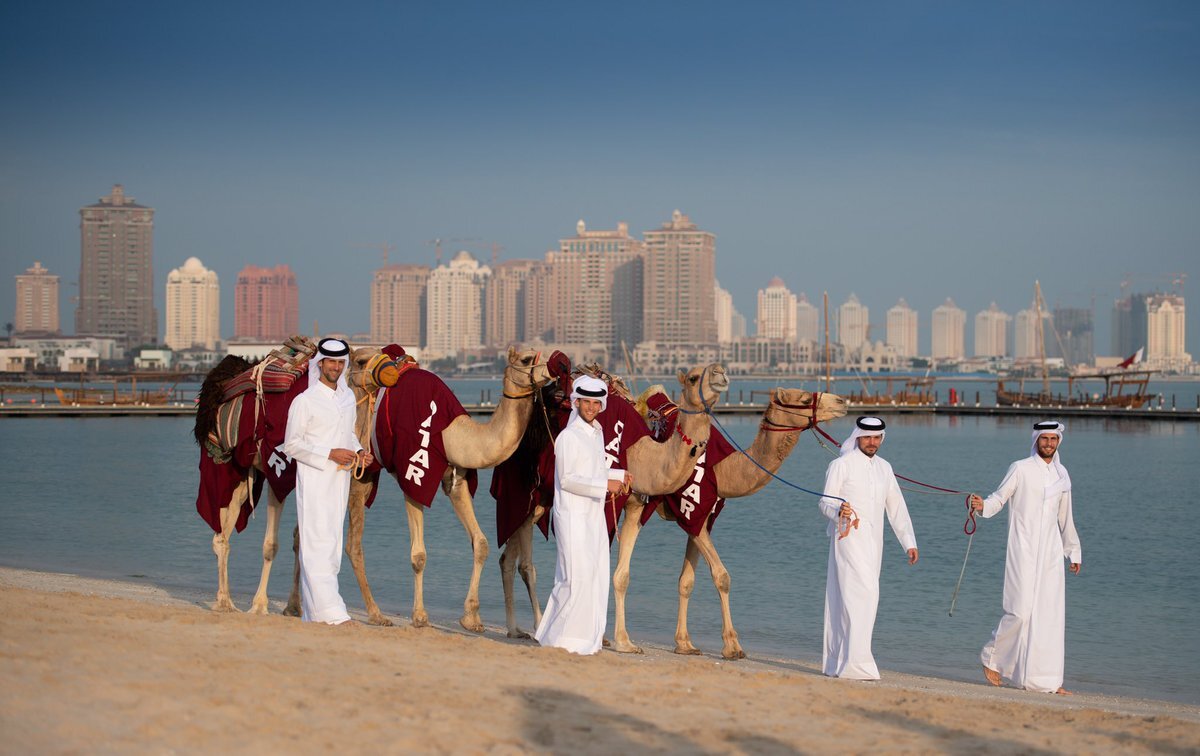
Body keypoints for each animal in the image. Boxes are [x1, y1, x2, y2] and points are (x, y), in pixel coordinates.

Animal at [338, 345, 561, 628]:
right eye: (525, 359)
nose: (557, 364)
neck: (451, 433)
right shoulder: (414, 474)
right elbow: (419, 555)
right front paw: (420, 616)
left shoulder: (456, 480)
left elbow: (481, 543)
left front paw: (471, 617)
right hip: (358, 468)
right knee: (351, 543)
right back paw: (375, 614)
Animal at [492, 364, 724, 643]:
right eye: (693, 377)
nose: (721, 373)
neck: (639, 453)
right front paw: (596, 636)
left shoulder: (636, 505)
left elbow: (622, 575)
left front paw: (624, 641)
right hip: (522, 487)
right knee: (526, 562)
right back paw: (535, 627)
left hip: (539, 501)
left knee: (508, 557)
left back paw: (515, 628)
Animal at [624, 388, 849, 662]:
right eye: (805, 399)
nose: (841, 401)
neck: (723, 471)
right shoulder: (689, 508)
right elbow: (722, 576)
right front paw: (732, 647)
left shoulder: (702, 518)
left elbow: (686, 580)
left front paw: (684, 644)